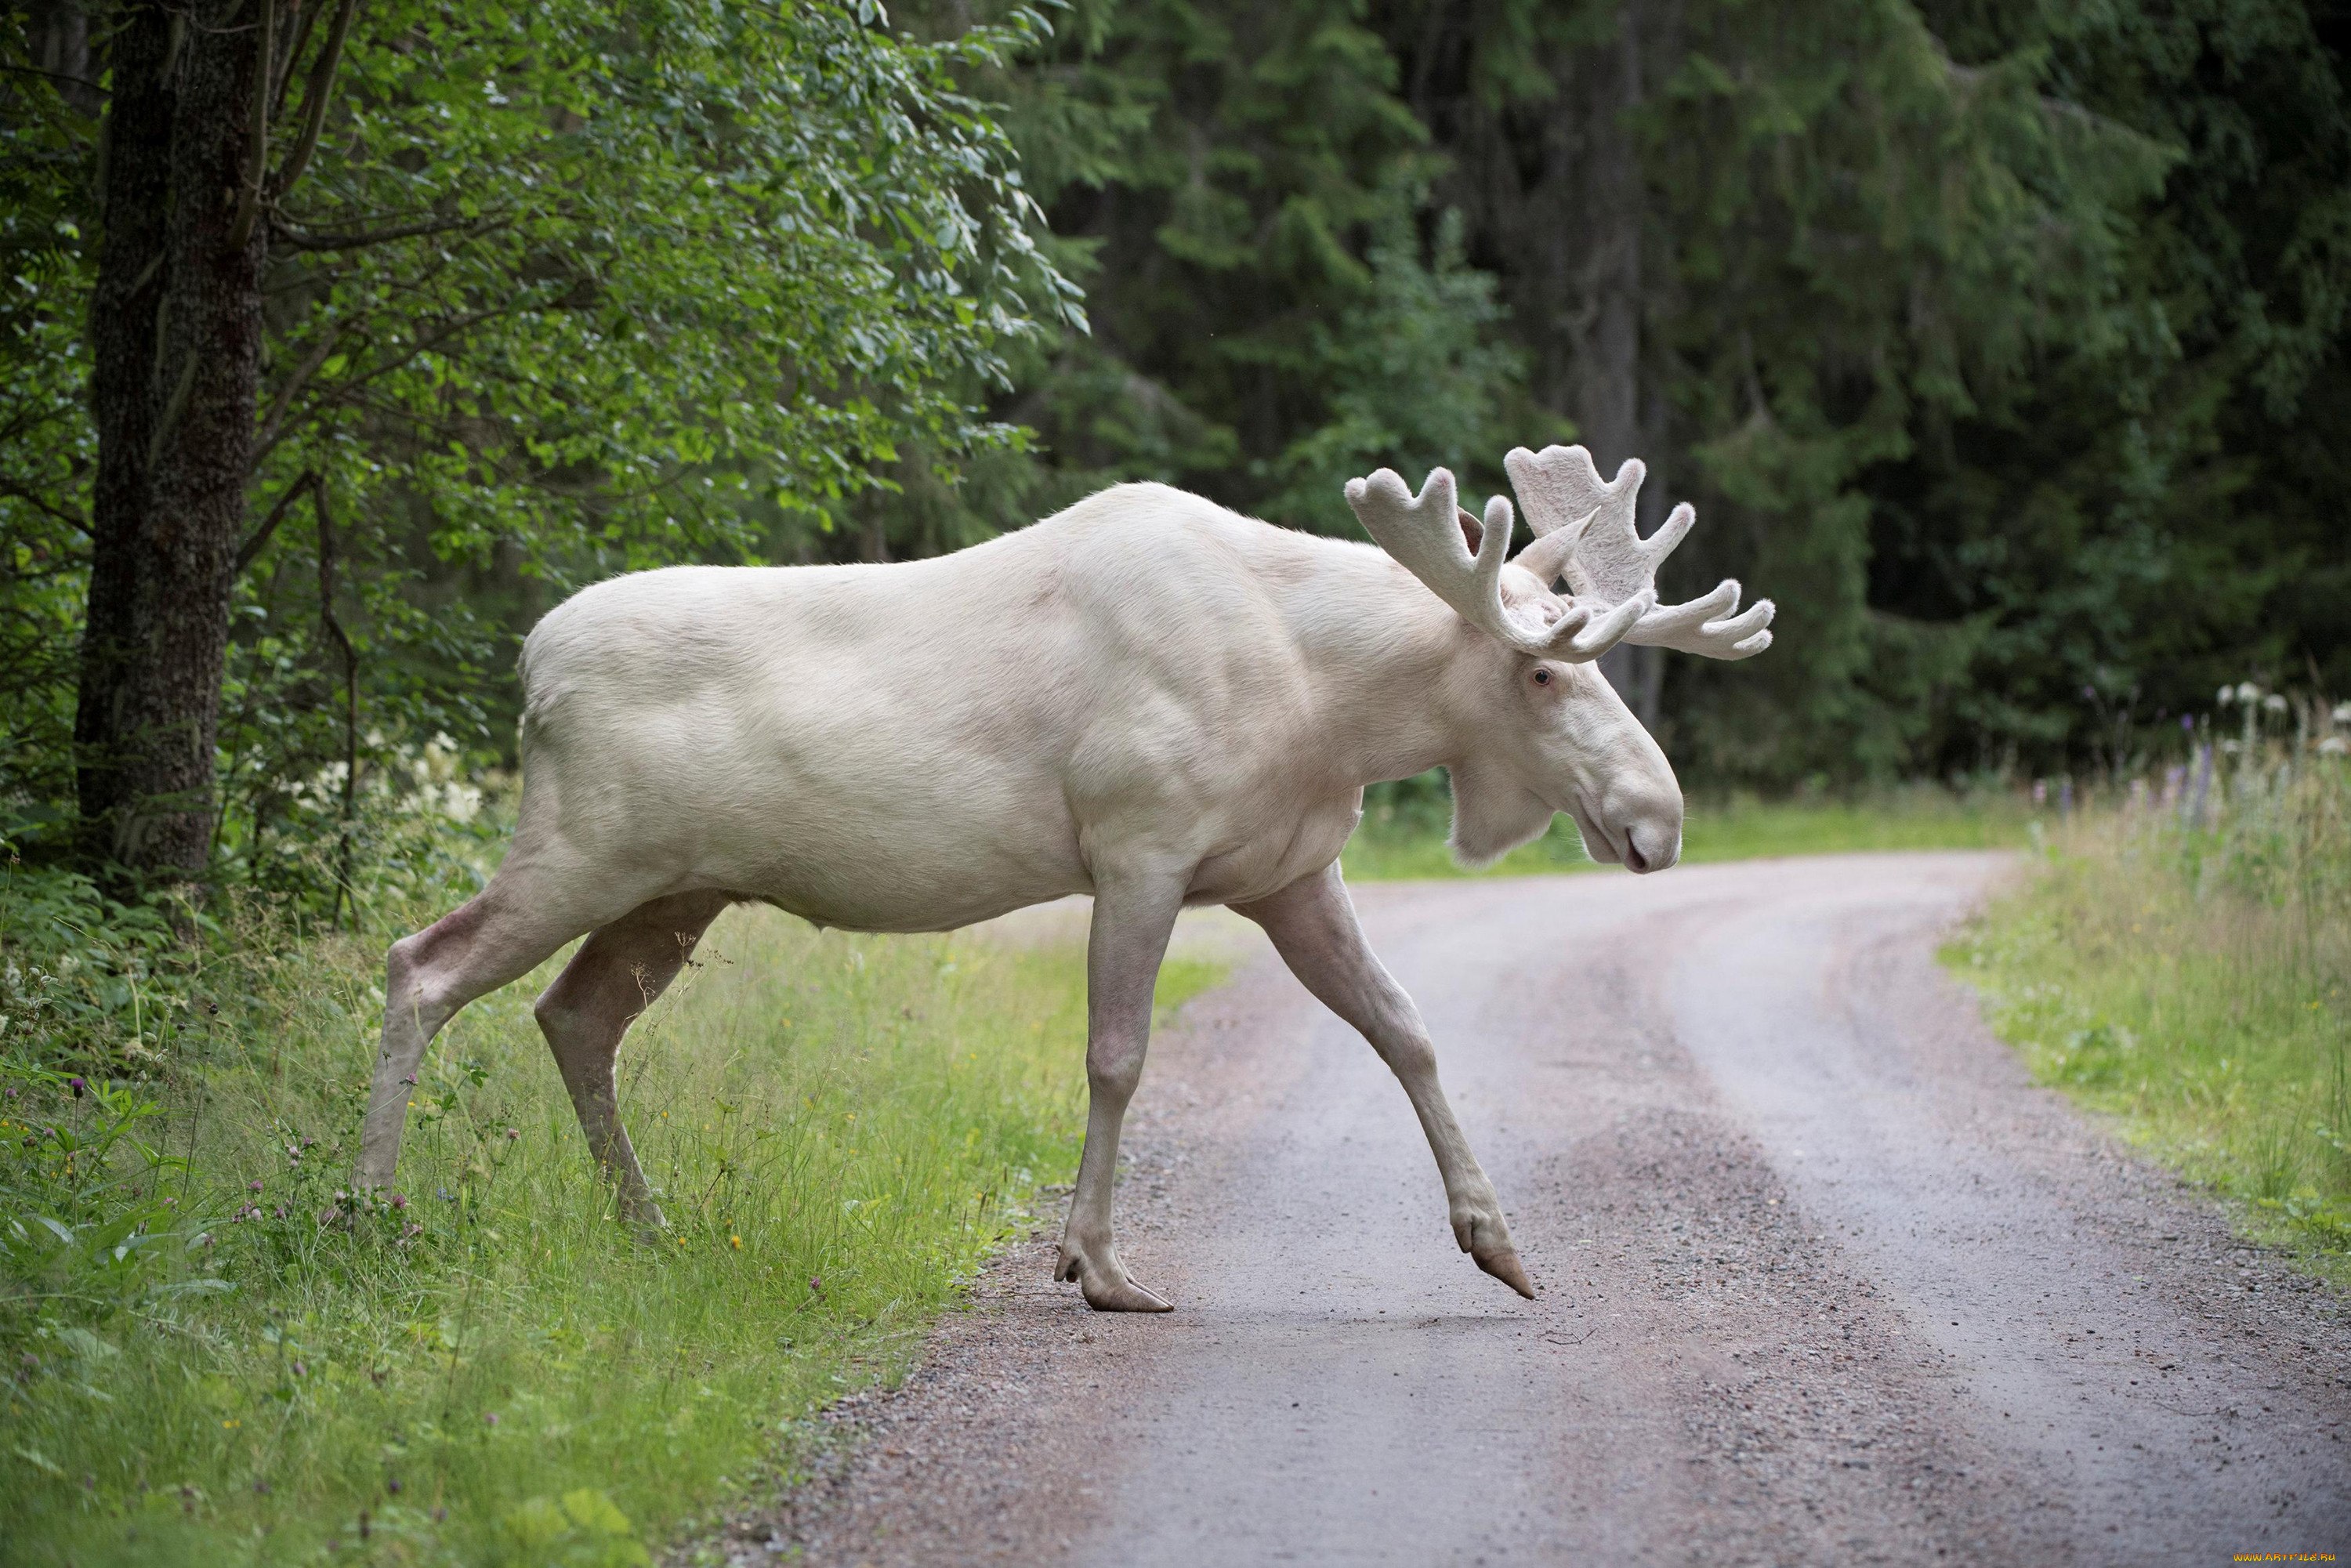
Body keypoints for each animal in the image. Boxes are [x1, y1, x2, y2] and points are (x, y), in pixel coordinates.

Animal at [357, 451, 1768, 1316]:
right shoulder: (1139, 845)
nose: (1658, 820)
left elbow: (1408, 1030)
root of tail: (530, 666)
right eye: (1542, 670)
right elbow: (1117, 1055)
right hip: (583, 847)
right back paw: (368, 1210)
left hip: (675, 888)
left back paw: (647, 1229)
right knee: (421, 964)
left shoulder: (1290, 870)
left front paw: (1498, 1241)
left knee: (573, 1015)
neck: (1328, 703)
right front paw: (1097, 1264)